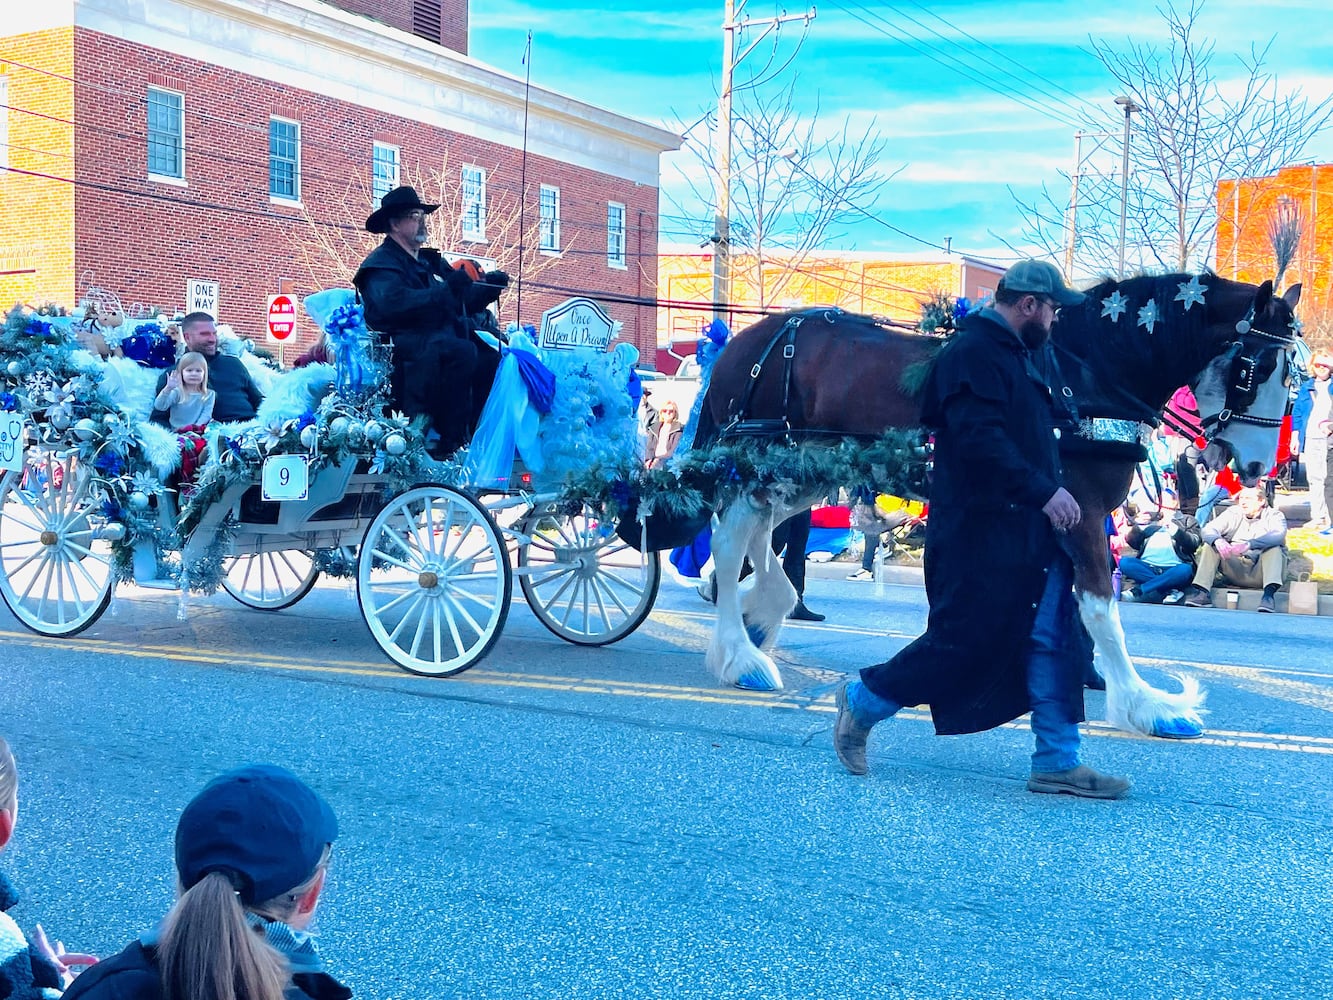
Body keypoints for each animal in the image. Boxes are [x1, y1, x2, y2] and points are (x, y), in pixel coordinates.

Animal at [687, 274, 1301, 746]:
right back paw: (741, 655)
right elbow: (1102, 608)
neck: (1082, 379)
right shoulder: (1079, 508)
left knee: (755, 530)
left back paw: (757, 612)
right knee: (731, 537)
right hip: (766, 459)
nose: (1257, 466)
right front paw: (1145, 705)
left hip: (809, 468)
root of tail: (742, 343)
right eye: (1255, 370)